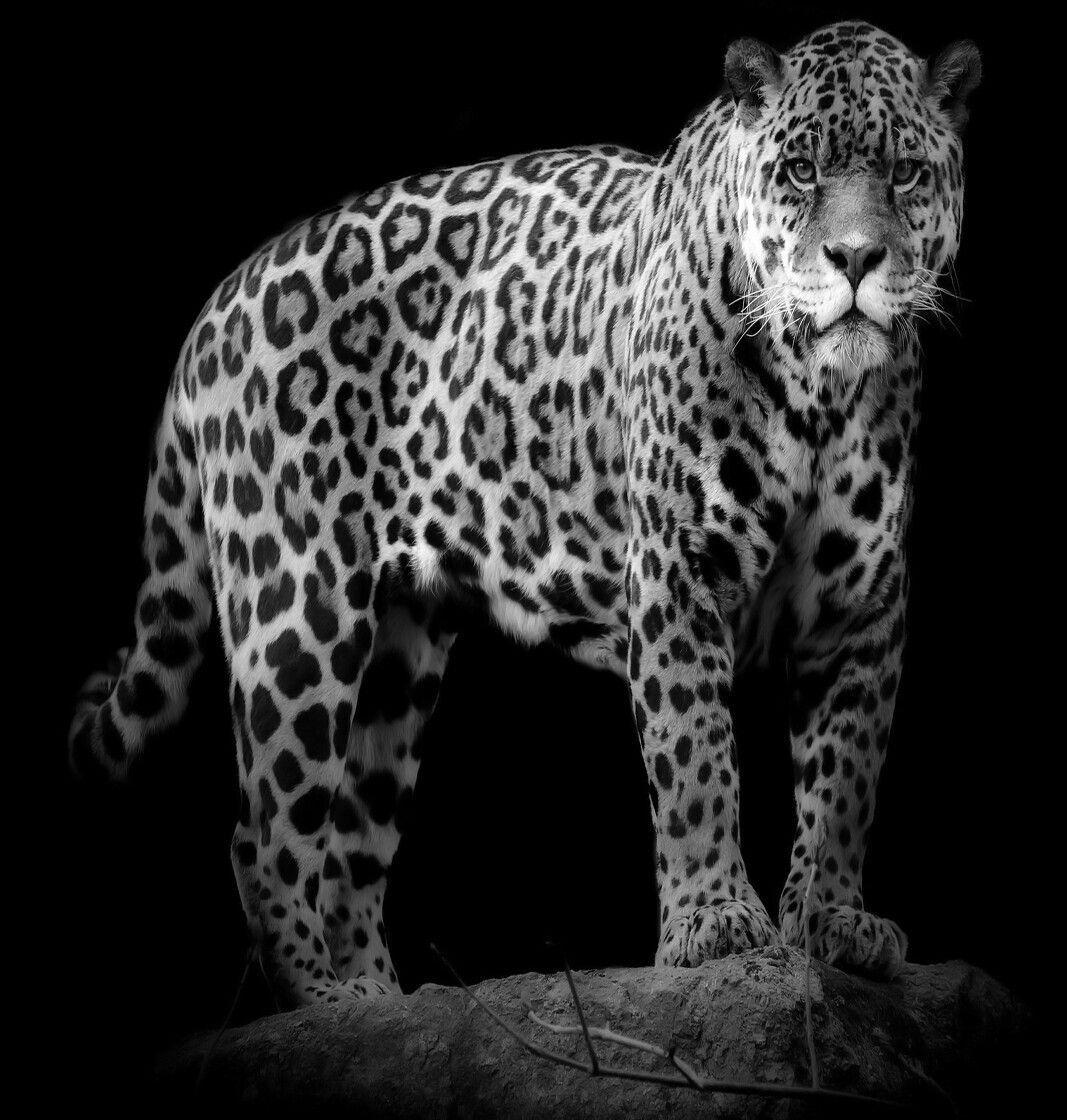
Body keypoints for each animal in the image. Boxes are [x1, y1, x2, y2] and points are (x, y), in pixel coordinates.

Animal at [69, 21, 981, 1006]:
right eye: (802, 171)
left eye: (904, 174)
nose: (855, 260)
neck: (820, 394)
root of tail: (218, 304)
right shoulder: (677, 572)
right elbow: (695, 755)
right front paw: (714, 926)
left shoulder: (862, 603)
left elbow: (846, 777)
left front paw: (832, 922)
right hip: (298, 614)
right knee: (264, 834)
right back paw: (321, 997)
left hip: (400, 656)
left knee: (350, 848)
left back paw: (379, 1005)